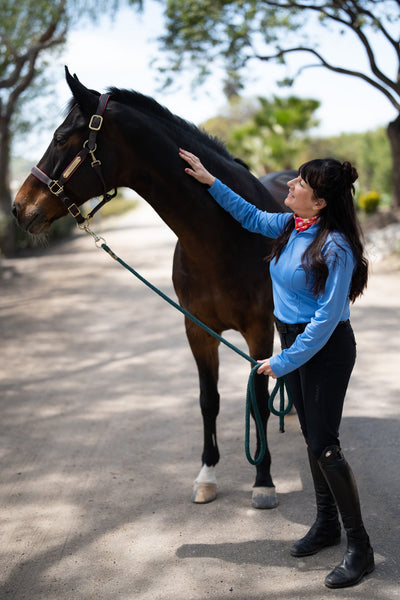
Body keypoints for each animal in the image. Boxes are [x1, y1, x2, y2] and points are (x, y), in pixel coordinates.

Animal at [13, 69, 294, 510]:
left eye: (60, 139)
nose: (18, 208)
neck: (224, 238)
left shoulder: (258, 331)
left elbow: (258, 404)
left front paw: (263, 481)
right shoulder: (197, 330)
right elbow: (208, 402)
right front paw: (206, 476)